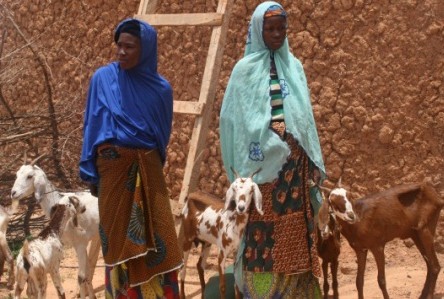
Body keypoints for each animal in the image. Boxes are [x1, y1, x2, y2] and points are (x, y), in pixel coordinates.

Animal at [9, 155, 100, 299]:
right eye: (17, 174)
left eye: (29, 176)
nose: (13, 193)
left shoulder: (80, 244)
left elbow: (81, 276)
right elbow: (87, 272)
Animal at [180, 169, 264, 299]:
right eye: (234, 189)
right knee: (182, 271)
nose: (241, 207)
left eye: (251, 190)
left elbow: (236, 285)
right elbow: (222, 286)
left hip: (207, 242)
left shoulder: (236, 253)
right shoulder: (222, 253)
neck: (234, 224)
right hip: (188, 238)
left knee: (199, 265)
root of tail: (191, 195)